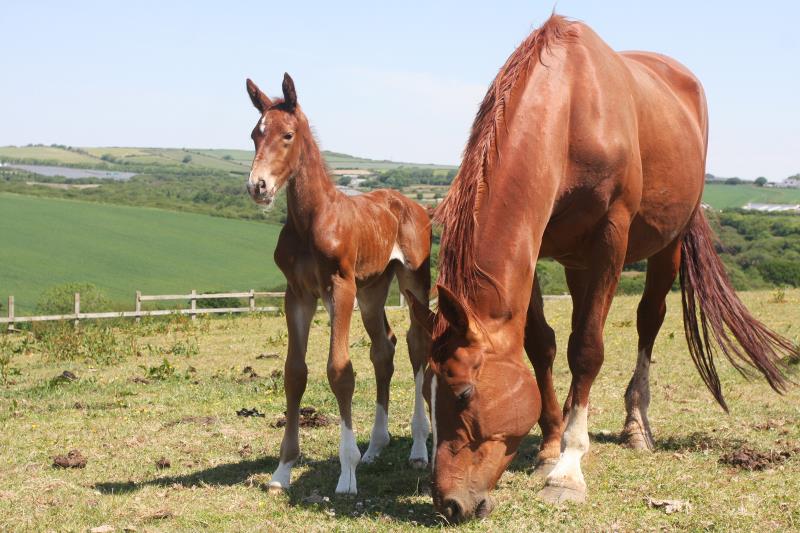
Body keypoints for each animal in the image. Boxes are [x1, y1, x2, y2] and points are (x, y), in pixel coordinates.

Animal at [245, 72, 434, 492]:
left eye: (287, 135)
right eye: (254, 134)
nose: (257, 186)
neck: (313, 219)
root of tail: (414, 205)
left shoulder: (340, 287)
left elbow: (340, 370)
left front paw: (347, 472)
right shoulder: (298, 294)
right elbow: (294, 373)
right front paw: (282, 470)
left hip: (412, 280)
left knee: (418, 345)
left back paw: (418, 447)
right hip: (372, 290)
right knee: (384, 349)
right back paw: (377, 446)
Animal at [410, 15, 796, 520]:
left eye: (464, 394)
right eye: (427, 395)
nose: (451, 503)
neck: (571, 109)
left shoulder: (611, 240)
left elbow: (587, 349)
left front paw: (568, 468)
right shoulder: (535, 247)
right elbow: (541, 345)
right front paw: (550, 446)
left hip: (667, 244)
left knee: (648, 321)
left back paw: (636, 426)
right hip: (578, 263)